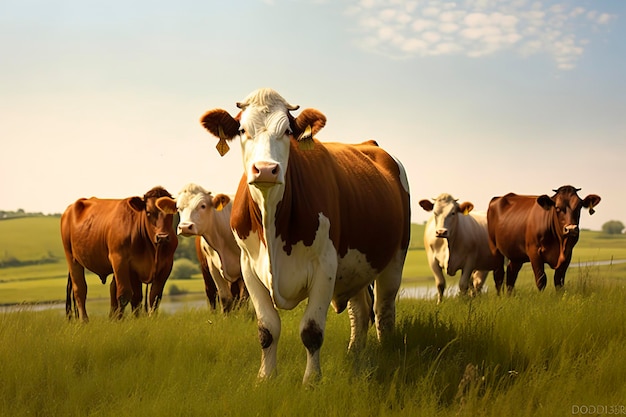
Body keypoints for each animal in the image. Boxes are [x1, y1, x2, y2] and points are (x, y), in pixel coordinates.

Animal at [60, 186, 178, 322]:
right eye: (148, 212)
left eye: (171, 213)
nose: (162, 237)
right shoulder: (121, 260)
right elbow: (125, 295)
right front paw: (124, 322)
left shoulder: (165, 266)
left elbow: (153, 296)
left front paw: (144, 319)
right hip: (72, 258)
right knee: (80, 289)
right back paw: (85, 321)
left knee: (112, 288)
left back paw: (112, 318)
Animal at [155, 183, 247, 312]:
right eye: (178, 208)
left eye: (203, 206)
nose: (185, 227)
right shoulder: (213, 266)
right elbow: (225, 299)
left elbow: (245, 299)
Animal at [197, 88, 408, 384]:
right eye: (242, 130)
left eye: (287, 131)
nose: (265, 169)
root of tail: (369, 144)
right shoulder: (248, 268)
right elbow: (267, 329)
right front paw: (265, 377)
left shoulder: (325, 267)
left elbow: (311, 331)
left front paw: (311, 381)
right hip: (356, 268)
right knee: (361, 310)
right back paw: (355, 352)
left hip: (395, 258)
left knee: (383, 310)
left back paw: (385, 351)